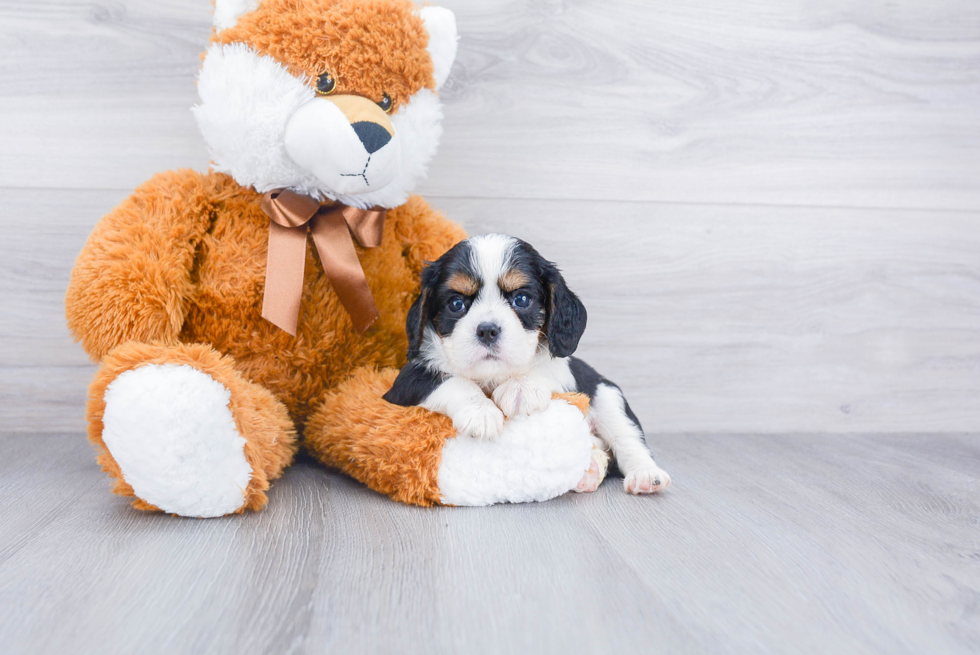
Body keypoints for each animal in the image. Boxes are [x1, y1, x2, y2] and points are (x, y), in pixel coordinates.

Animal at [386, 233, 668, 494]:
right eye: (456, 303)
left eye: (521, 300)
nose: (487, 330)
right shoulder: (405, 381)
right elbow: (450, 381)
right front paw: (481, 411)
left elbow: (545, 367)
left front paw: (521, 387)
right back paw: (590, 470)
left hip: (608, 395)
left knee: (628, 440)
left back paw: (645, 475)